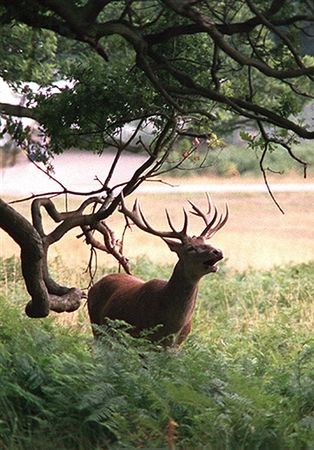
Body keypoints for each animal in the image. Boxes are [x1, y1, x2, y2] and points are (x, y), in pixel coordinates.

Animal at [87, 194, 227, 348]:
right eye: (190, 248)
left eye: (206, 242)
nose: (218, 251)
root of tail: (94, 286)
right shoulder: (141, 339)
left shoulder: (177, 345)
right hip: (96, 328)